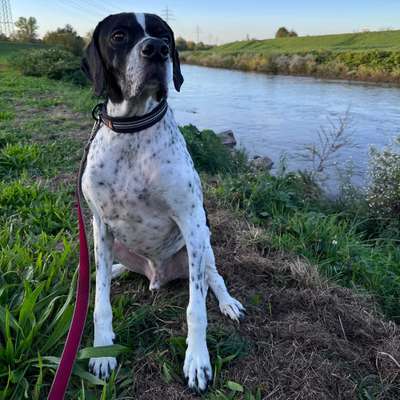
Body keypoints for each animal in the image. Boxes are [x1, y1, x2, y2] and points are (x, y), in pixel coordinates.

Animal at [81, 12, 244, 394]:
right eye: (119, 35)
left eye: (164, 36)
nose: (157, 50)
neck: (132, 129)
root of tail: (157, 276)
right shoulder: (100, 226)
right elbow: (100, 302)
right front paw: (102, 350)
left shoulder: (192, 221)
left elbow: (196, 310)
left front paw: (197, 360)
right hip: (117, 244)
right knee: (116, 269)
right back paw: (115, 270)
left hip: (203, 246)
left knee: (214, 279)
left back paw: (228, 303)